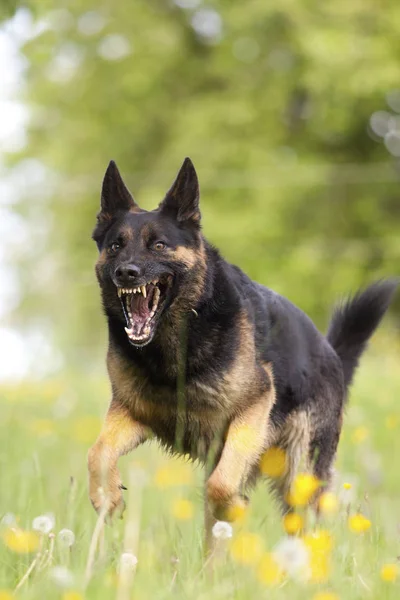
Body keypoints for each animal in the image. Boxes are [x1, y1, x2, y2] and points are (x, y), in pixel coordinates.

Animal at [87, 156, 396, 548]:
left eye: (158, 245)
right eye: (116, 246)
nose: (126, 273)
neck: (177, 345)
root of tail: (331, 354)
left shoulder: (253, 408)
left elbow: (221, 487)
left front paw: (233, 505)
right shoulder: (131, 413)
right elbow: (97, 452)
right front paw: (107, 495)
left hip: (299, 475)